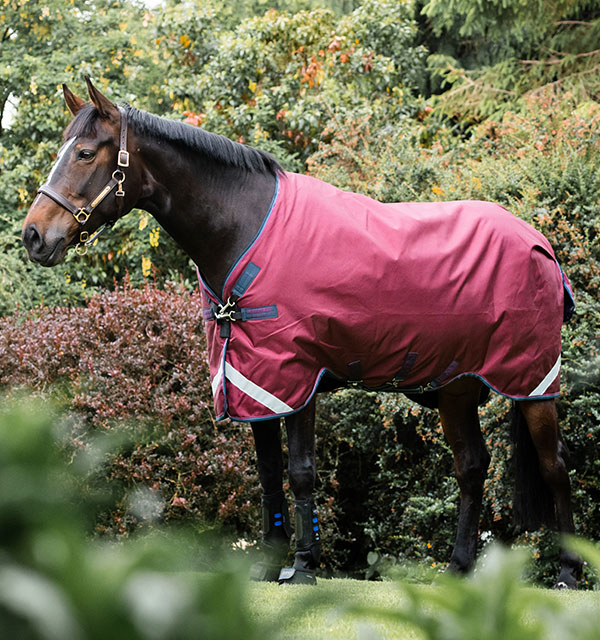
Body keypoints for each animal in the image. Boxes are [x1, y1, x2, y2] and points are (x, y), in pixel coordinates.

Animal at [22, 78, 582, 588]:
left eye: (86, 153)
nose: (32, 236)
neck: (243, 229)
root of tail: (539, 243)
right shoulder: (252, 382)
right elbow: (269, 473)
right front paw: (270, 566)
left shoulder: (295, 377)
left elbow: (301, 471)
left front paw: (306, 567)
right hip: (457, 387)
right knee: (471, 467)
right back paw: (459, 569)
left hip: (532, 381)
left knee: (554, 463)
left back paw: (569, 574)